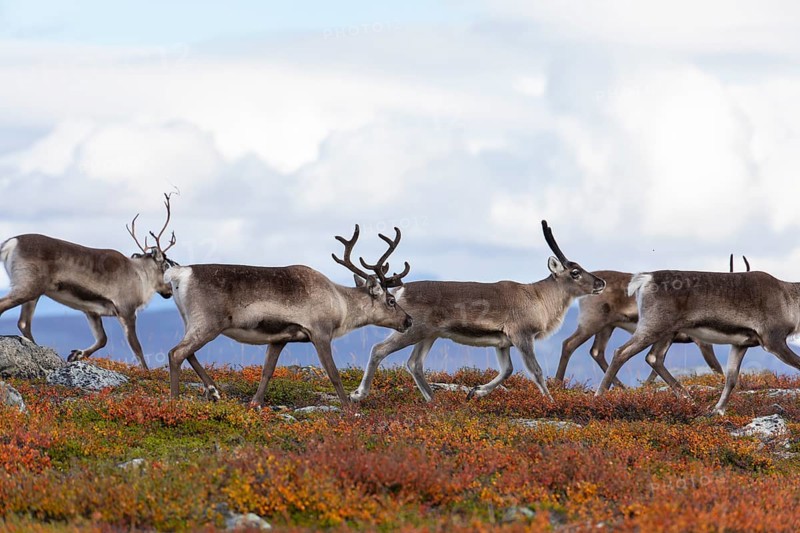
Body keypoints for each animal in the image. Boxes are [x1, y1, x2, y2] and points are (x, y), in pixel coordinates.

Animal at [0, 193, 178, 369]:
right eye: (167, 266)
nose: (170, 291)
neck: (141, 276)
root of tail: (11, 242)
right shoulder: (126, 310)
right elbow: (138, 349)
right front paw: (146, 371)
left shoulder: (91, 311)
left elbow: (102, 339)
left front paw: (76, 354)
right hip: (28, 286)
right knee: (5, 307)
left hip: (35, 292)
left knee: (24, 323)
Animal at [163, 224, 412, 406]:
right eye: (391, 301)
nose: (409, 320)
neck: (340, 303)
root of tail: (180, 273)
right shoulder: (320, 333)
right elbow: (333, 374)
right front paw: (349, 408)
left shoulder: (279, 339)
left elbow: (267, 371)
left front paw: (255, 404)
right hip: (208, 323)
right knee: (176, 353)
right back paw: (175, 401)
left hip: (192, 321)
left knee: (188, 353)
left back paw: (213, 390)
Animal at [349, 220, 606, 403]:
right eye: (575, 272)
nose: (601, 282)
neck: (541, 299)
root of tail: (400, 289)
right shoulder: (522, 334)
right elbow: (536, 371)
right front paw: (551, 402)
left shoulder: (503, 342)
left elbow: (507, 370)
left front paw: (476, 391)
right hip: (412, 328)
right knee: (379, 349)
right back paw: (359, 394)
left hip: (429, 334)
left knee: (414, 363)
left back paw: (434, 401)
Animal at [556, 255, 751, 387]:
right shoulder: (701, 342)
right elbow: (716, 368)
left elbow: (653, 368)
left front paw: (645, 387)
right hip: (592, 323)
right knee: (569, 344)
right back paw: (558, 383)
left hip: (607, 327)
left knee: (597, 352)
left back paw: (622, 387)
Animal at [594, 262, 800, 414]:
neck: (790, 301)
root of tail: (646, 278)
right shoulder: (773, 340)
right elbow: (799, 364)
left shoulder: (740, 344)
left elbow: (731, 378)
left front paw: (718, 410)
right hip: (653, 326)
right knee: (621, 352)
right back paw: (599, 396)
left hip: (667, 331)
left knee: (654, 357)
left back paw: (688, 399)